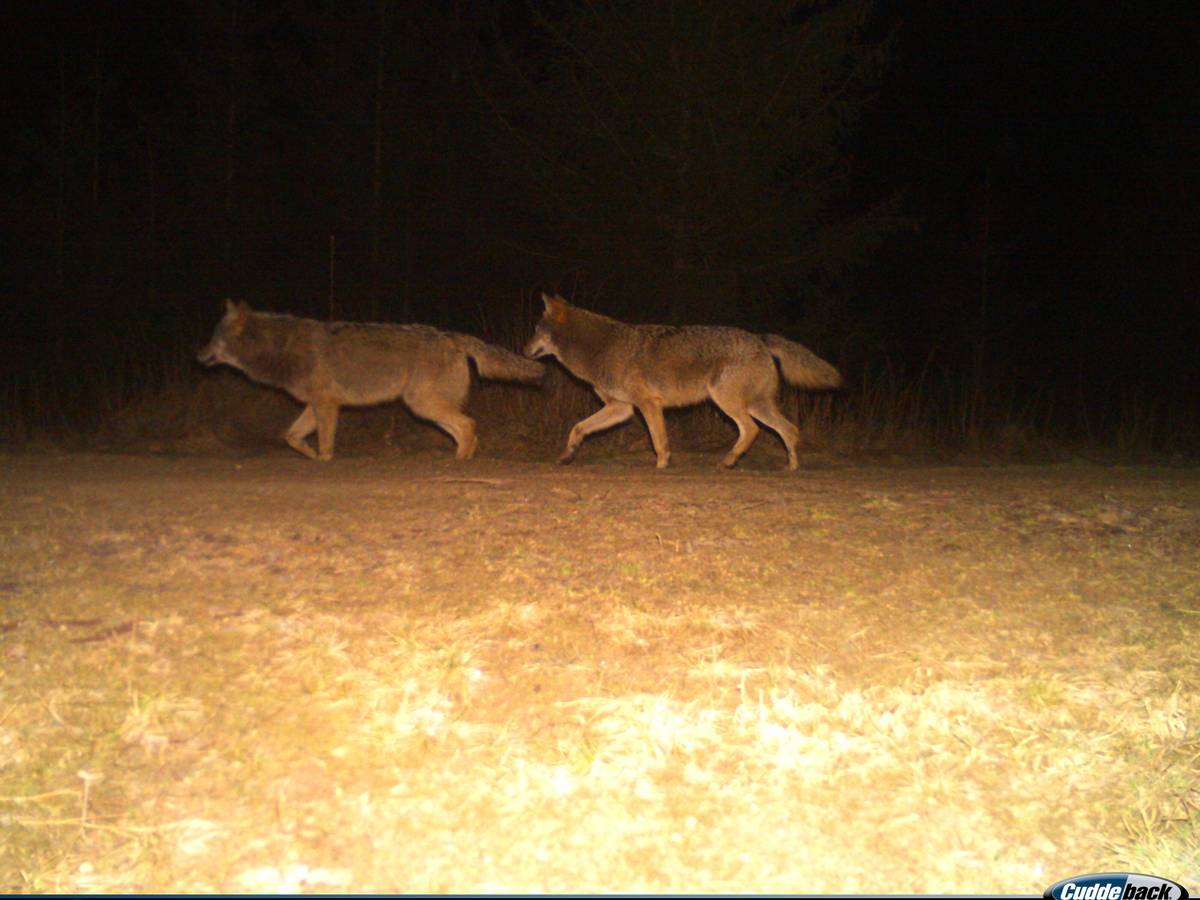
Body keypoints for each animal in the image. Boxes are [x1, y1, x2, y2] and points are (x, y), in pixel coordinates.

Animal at [197, 299, 543, 461]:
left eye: (213, 337)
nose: (197, 355)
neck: (280, 349)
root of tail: (453, 337)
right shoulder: (316, 405)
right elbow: (291, 436)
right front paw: (311, 456)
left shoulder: (326, 405)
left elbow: (325, 442)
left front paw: (324, 459)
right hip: (426, 409)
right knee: (466, 430)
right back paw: (462, 459)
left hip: (422, 406)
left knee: (469, 425)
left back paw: (458, 462)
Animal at [524, 293, 842, 470]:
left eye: (536, 329)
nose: (523, 350)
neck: (598, 348)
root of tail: (760, 338)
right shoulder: (621, 408)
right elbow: (577, 428)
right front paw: (566, 456)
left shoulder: (647, 404)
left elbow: (658, 441)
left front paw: (661, 465)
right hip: (756, 406)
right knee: (790, 430)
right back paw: (791, 467)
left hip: (728, 403)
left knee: (752, 430)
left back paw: (728, 461)